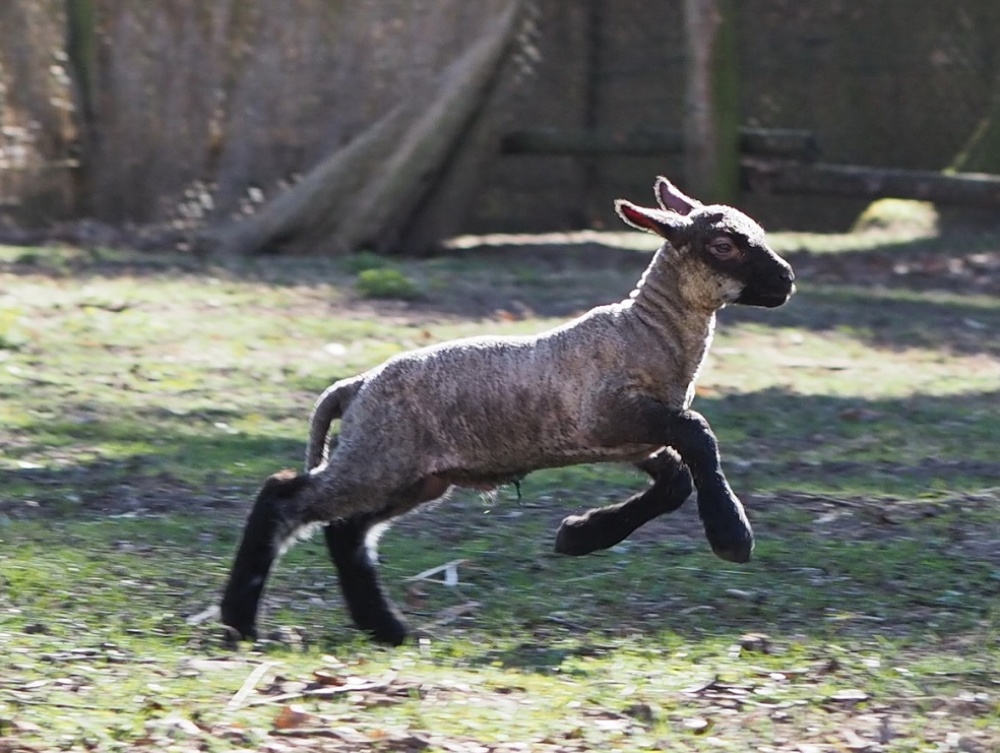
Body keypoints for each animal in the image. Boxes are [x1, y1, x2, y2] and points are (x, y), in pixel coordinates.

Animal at [220, 177, 796, 646]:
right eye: (723, 245)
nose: (787, 280)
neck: (647, 331)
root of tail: (355, 386)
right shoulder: (610, 415)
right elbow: (698, 434)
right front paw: (731, 534)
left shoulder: (632, 439)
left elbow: (675, 480)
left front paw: (580, 535)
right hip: (379, 457)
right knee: (282, 497)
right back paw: (240, 624)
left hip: (416, 476)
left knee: (346, 532)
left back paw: (385, 629)